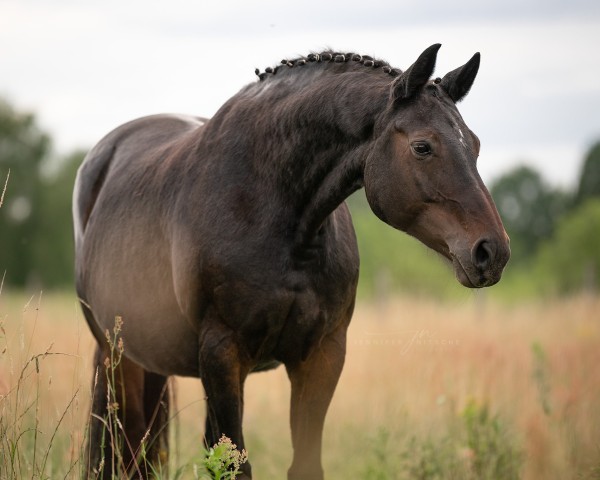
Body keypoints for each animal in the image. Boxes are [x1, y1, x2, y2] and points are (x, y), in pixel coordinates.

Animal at [72, 43, 508, 478]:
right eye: (422, 146)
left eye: (475, 145)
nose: (493, 251)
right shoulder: (222, 354)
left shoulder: (322, 356)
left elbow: (304, 462)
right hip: (118, 356)